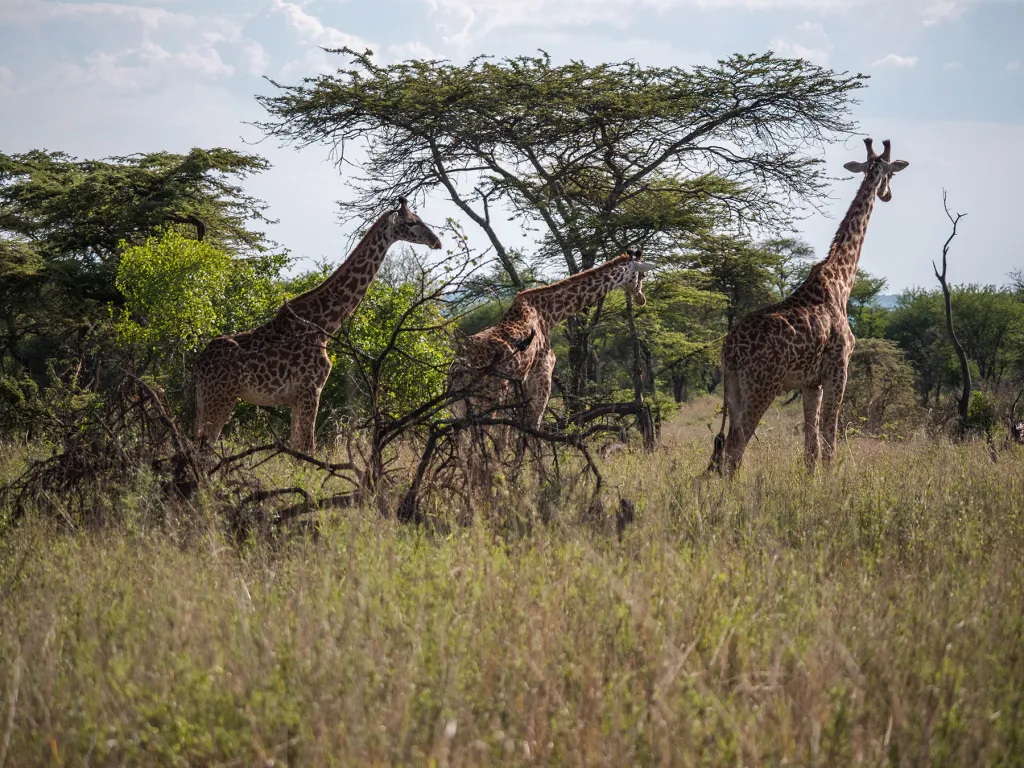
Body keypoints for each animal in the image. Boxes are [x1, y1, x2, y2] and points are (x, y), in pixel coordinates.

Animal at [193, 195, 442, 456]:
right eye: (411, 222)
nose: (436, 241)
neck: (325, 325)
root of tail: (198, 365)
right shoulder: (311, 390)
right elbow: (307, 449)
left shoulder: (296, 398)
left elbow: (296, 448)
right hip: (221, 398)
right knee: (204, 449)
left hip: (203, 401)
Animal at [448, 250, 655, 438]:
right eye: (642, 275)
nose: (642, 298)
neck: (549, 315)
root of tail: (458, 368)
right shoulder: (542, 372)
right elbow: (532, 427)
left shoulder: (520, 380)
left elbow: (511, 431)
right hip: (490, 393)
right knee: (481, 432)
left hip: (460, 402)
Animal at [712, 137, 913, 475]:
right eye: (891, 173)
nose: (887, 194)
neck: (842, 280)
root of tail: (730, 348)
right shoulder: (838, 369)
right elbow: (830, 441)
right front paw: (831, 482)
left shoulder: (810, 383)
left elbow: (811, 447)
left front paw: (811, 481)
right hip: (762, 385)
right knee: (736, 445)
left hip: (733, 387)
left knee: (724, 445)